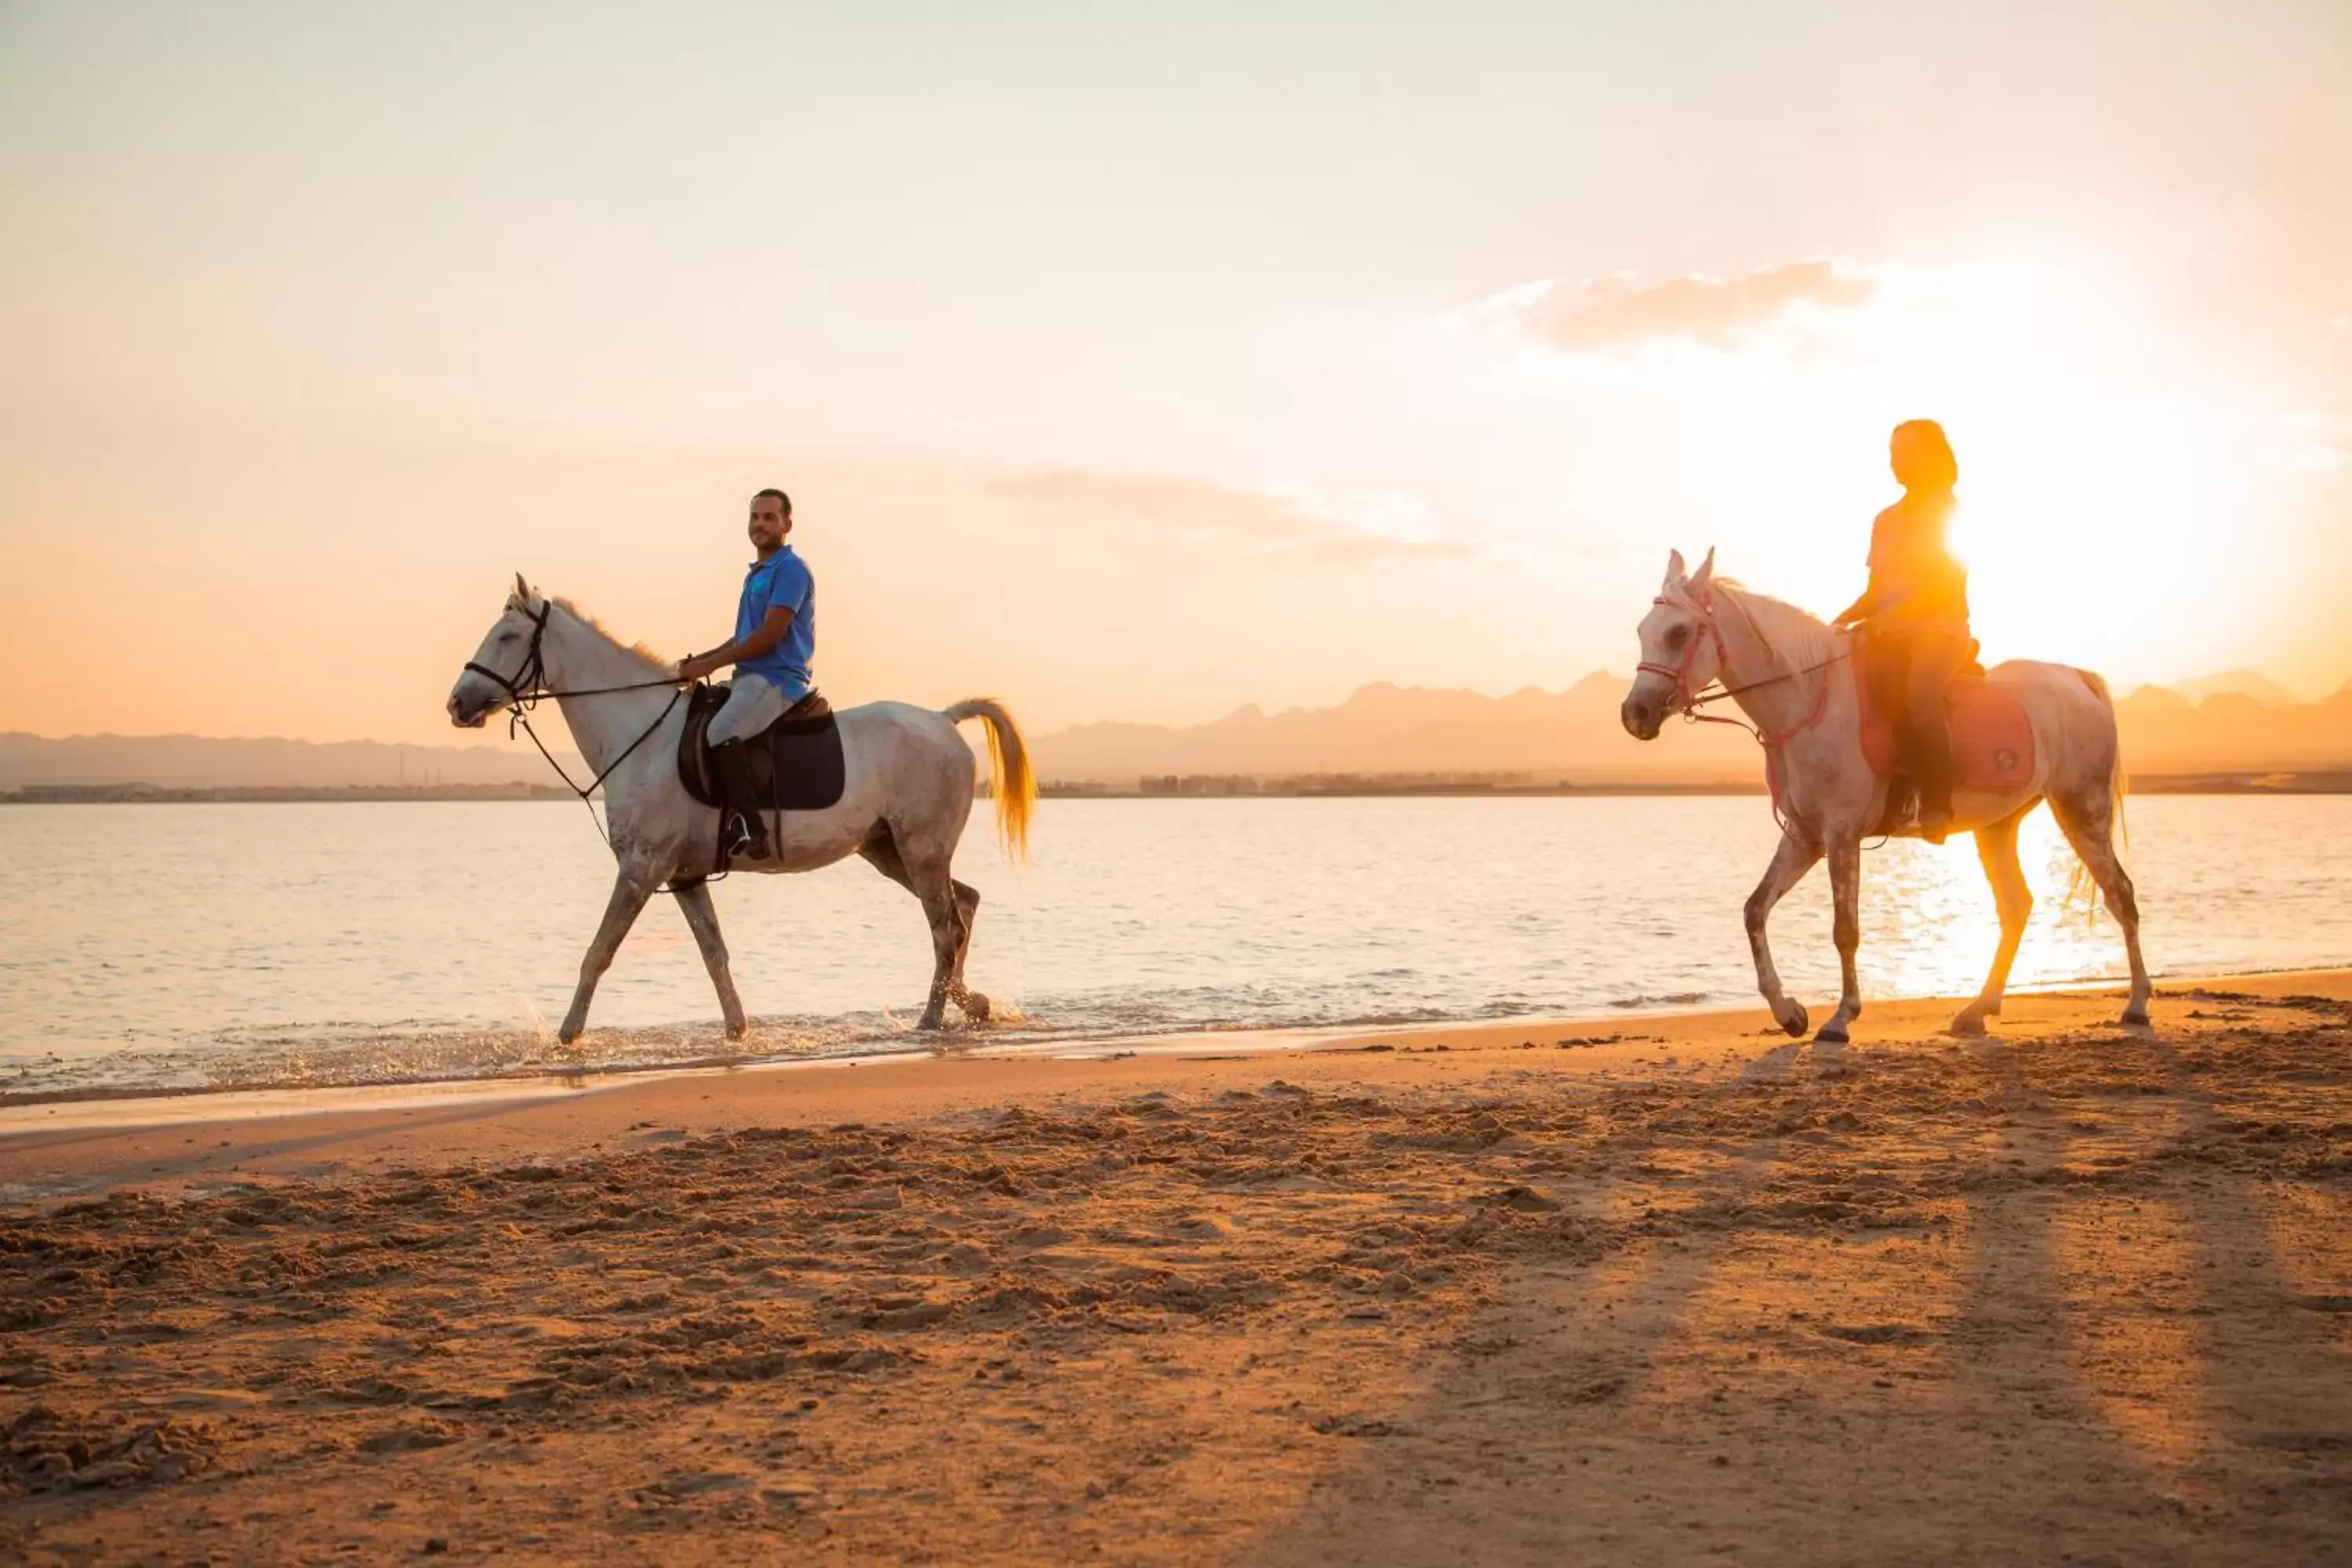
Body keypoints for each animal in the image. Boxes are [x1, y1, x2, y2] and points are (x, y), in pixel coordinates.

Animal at [445, 575, 1035, 1044]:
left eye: (507, 637)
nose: (456, 704)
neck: (643, 736)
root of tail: (942, 719)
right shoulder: (682, 876)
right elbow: (715, 954)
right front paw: (736, 1031)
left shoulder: (641, 868)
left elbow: (599, 951)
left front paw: (567, 1035)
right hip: (888, 850)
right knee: (964, 907)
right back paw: (972, 1004)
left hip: (921, 850)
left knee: (943, 927)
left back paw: (932, 1019)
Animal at [1618, 552, 2154, 1053]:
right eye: (1643, 630)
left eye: (1680, 633)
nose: (1635, 714)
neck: (1808, 701)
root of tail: (2078, 681)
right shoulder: (1805, 837)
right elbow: (1754, 910)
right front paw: (1789, 1012)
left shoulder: (1840, 835)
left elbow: (1845, 930)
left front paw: (1840, 1019)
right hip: (1998, 825)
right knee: (2016, 906)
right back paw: (1978, 1009)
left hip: (2082, 809)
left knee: (2120, 894)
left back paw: (2136, 1004)